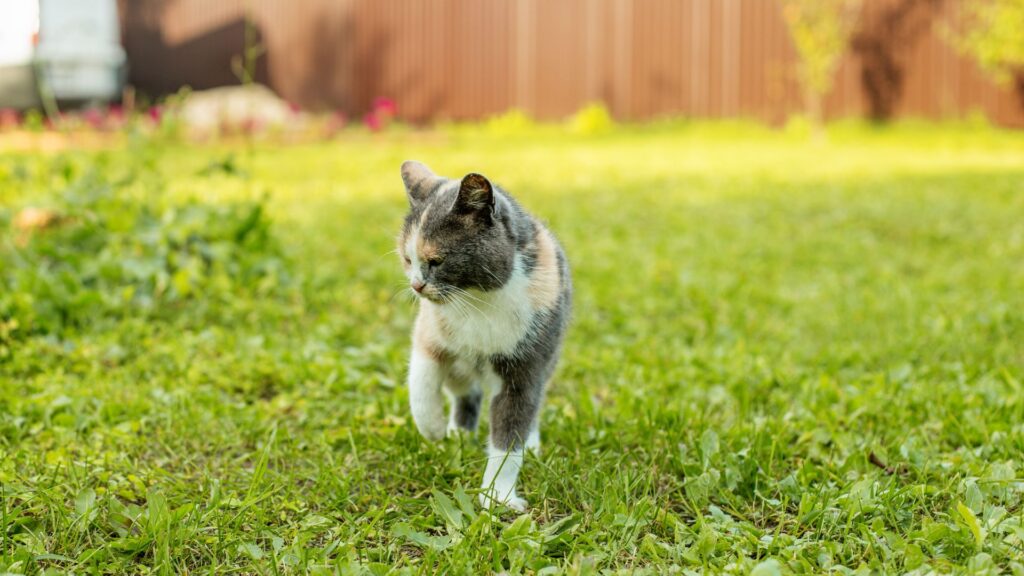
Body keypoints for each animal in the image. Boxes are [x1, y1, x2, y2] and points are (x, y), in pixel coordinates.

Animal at [395, 159, 573, 506]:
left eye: (436, 260)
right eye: (408, 259)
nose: (416, 285)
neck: (477, 301)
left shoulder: (526, 366)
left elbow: (510, 434)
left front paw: (498, 497)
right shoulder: (430, 331)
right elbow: (421, 379)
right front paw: (432, 428)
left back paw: (531, 443)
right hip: (460, 371)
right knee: (465, 392)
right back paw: (458, 434)